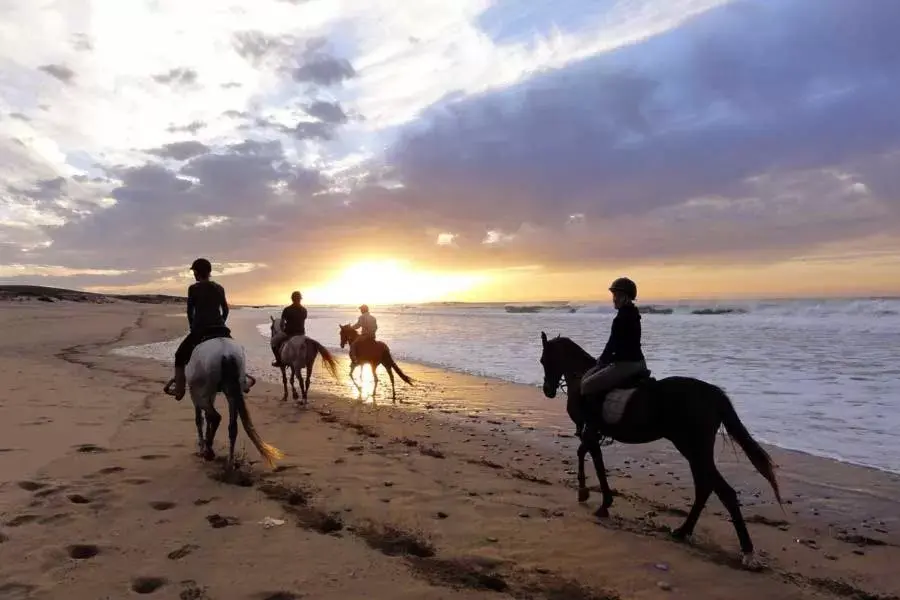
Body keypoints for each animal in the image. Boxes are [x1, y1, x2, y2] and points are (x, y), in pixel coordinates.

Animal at [540, 330, 780, 568]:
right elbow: (584, 454)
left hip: (692, 448)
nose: (548, 391)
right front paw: (586, 492)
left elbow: (593, 461)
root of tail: (713, 393)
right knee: (705, 487)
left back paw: (747, 552)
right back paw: (683, 531)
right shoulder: (591, 434)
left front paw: (598, 500)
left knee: (722, 491)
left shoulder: (590, 431)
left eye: (544, 360)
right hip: (695, 450)